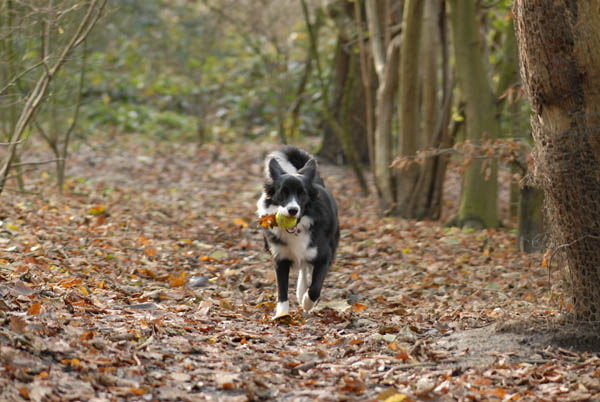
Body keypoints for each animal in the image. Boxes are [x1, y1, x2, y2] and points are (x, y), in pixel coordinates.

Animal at [256, 146, 340, 318]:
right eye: (283, 192)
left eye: (302, 193)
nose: (293, 210)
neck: (296, 229)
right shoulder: (280, 258)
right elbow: (282, 290)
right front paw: (282, 315)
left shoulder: (324, 256)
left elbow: (315, 288)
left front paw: (307, 303)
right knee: (303, 267)